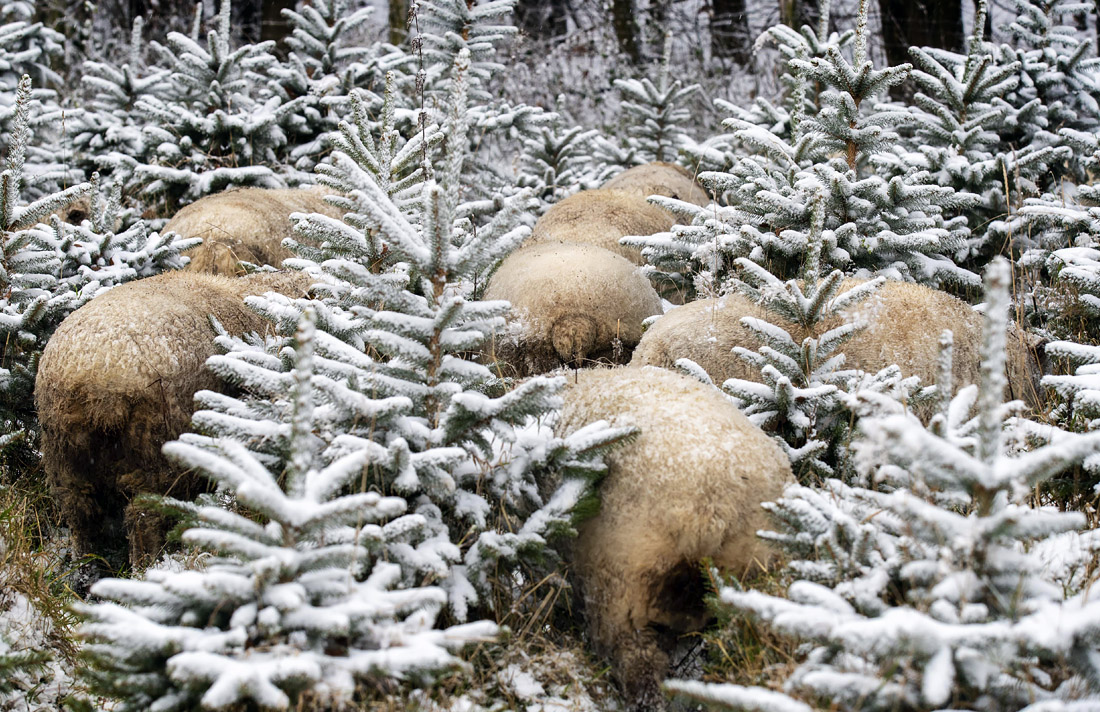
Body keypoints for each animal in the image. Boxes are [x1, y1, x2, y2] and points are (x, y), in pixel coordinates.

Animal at [35, 269, 314, 572]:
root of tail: (95, 384)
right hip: (153, 457)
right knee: (142, 519)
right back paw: (147, 569)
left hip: (65, 464)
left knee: (80, 517)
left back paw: (83, 569)